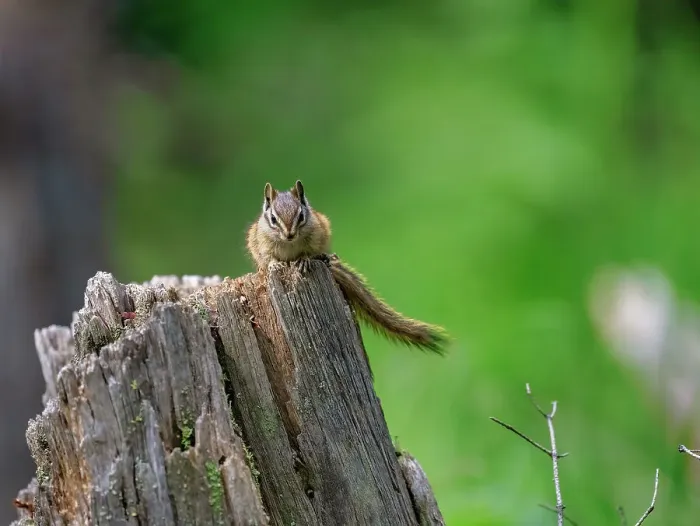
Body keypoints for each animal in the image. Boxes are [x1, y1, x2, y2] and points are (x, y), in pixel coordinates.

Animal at [246, 180, 448, 355]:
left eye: (301, 216)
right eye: (273, 219)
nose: (289, 234)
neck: (290, 244)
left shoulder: (317, 235)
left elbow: (307, 252)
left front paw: (304, 259)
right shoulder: (261, 243)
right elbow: (268, 257)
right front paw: (274, 263)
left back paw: (325, 257)